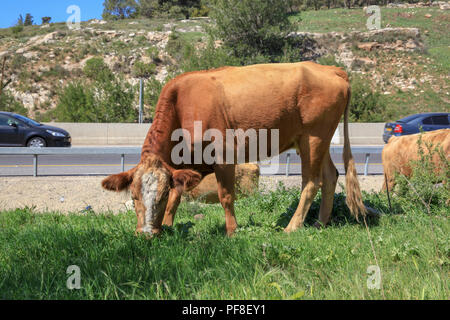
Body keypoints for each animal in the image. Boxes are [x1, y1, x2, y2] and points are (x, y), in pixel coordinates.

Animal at [101, 63, 366, 238]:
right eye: (133, 197)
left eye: (161, 195)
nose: (146, 233)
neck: (181, 106)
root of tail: (331, 69)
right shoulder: (182, 167)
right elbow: (178, 196)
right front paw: (167, 225)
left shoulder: (223, 155)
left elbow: (225, 196)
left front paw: (231, 231)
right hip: (313, 139)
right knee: (330, 176)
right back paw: (321, 223)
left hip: (314, 137)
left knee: (311, 182)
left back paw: (292, 227)